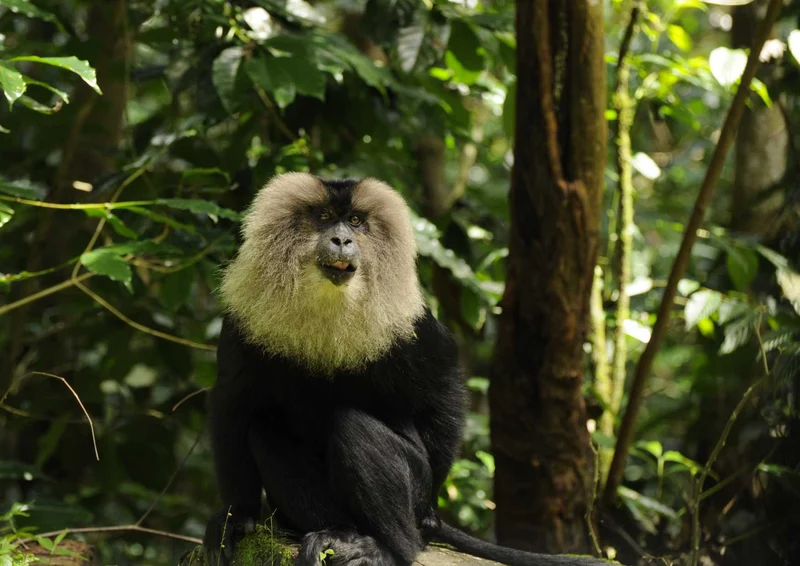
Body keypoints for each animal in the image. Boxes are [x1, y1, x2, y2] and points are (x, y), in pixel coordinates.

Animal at [203, 172, 612, 566]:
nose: (341, 239)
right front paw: (235, 518)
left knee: (354, 427)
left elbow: (443, 389)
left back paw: (390, 547)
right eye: (323, 217)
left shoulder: (412, 324)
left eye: (355, 221)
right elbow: (232, 403)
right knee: (264, 430)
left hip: (414, 483)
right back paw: (338, 534)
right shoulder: (242, 320)